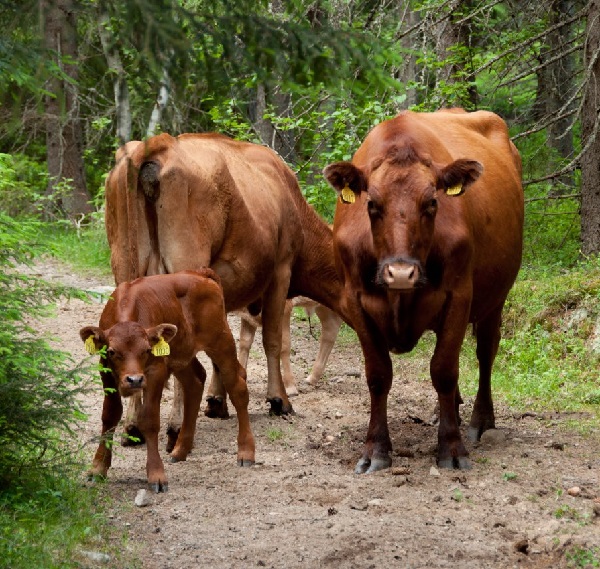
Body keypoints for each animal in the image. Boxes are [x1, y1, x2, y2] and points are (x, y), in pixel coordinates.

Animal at [80, 268, 255, 490]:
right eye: (112, 351)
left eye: (147, 350)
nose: (134, 380)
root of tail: (201, 274)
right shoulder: (105, 370)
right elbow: (109, 416)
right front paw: (97, 468)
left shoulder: (156, 371)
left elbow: (150, 420)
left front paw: (156, 474)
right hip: (182, 355)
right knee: (195, 382)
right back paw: (180, 450)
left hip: (221, 342)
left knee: (237, 387)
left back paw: (246, 452)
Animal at [324, 108, 524, 472]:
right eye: (371, 204)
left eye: (432, 202)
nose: (401, 273)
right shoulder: (355, 300)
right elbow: (378, 375)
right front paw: (375, 450)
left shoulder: (459, 295)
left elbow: (443, 370)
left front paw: (452, 448)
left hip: (495, 298)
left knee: (485, 352)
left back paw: (480, 420)